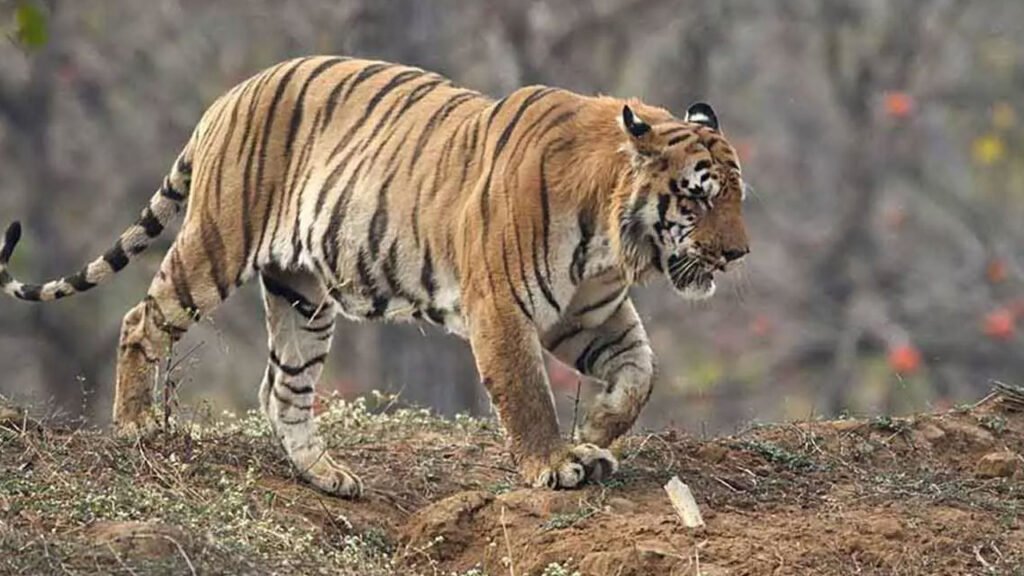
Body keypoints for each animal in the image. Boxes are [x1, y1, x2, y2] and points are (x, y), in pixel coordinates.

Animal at [0, 56, 749, 497]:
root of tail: (233, 92)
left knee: (281, 389)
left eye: (740, 195)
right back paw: (134, 425)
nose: (739, 254)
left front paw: (595, 428)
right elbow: (527, 393)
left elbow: (641, 373)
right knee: (142, 319)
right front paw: (554, 463)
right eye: (699, 196)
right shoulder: (500, 306)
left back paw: (327, 476)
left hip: (302, 295)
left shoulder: (588, 315)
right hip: (217, 242)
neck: (611, 240)